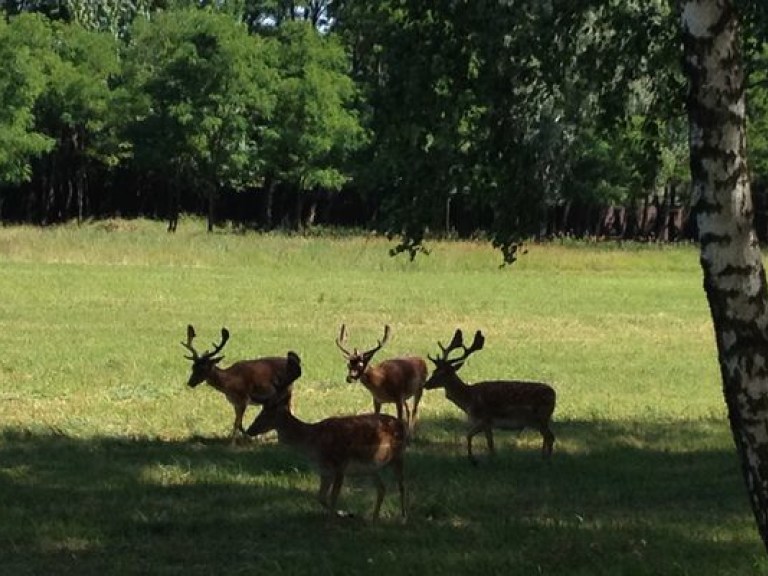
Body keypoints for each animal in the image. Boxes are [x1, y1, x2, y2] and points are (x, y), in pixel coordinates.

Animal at [246, 388, 408, 520]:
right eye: (260, 413)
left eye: (267, 415)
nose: (249, 430)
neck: (312, 442)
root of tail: (401, 424)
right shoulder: (324, 470)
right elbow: (321, 497)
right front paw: (344, 514)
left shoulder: (339, 465)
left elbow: (333, 498)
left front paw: (332, 524)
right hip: (371, 467)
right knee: (381, 488)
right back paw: (373, 519)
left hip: (398, 455)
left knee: (401, 485)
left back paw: (403, 518)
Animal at [424, 326, 556, 466]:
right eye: (434, 371)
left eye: (443, 373)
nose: (426, 384)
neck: (468, 400)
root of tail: (554, 394)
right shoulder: (484, 422)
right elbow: (475, 437)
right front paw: (481, 459)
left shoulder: (485, 419)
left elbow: (482, 441)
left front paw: (477, 460)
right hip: (540, 421)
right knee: (547, 437)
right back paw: (542, 458)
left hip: (540, 417)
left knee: (550, 437)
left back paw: (547, 461)